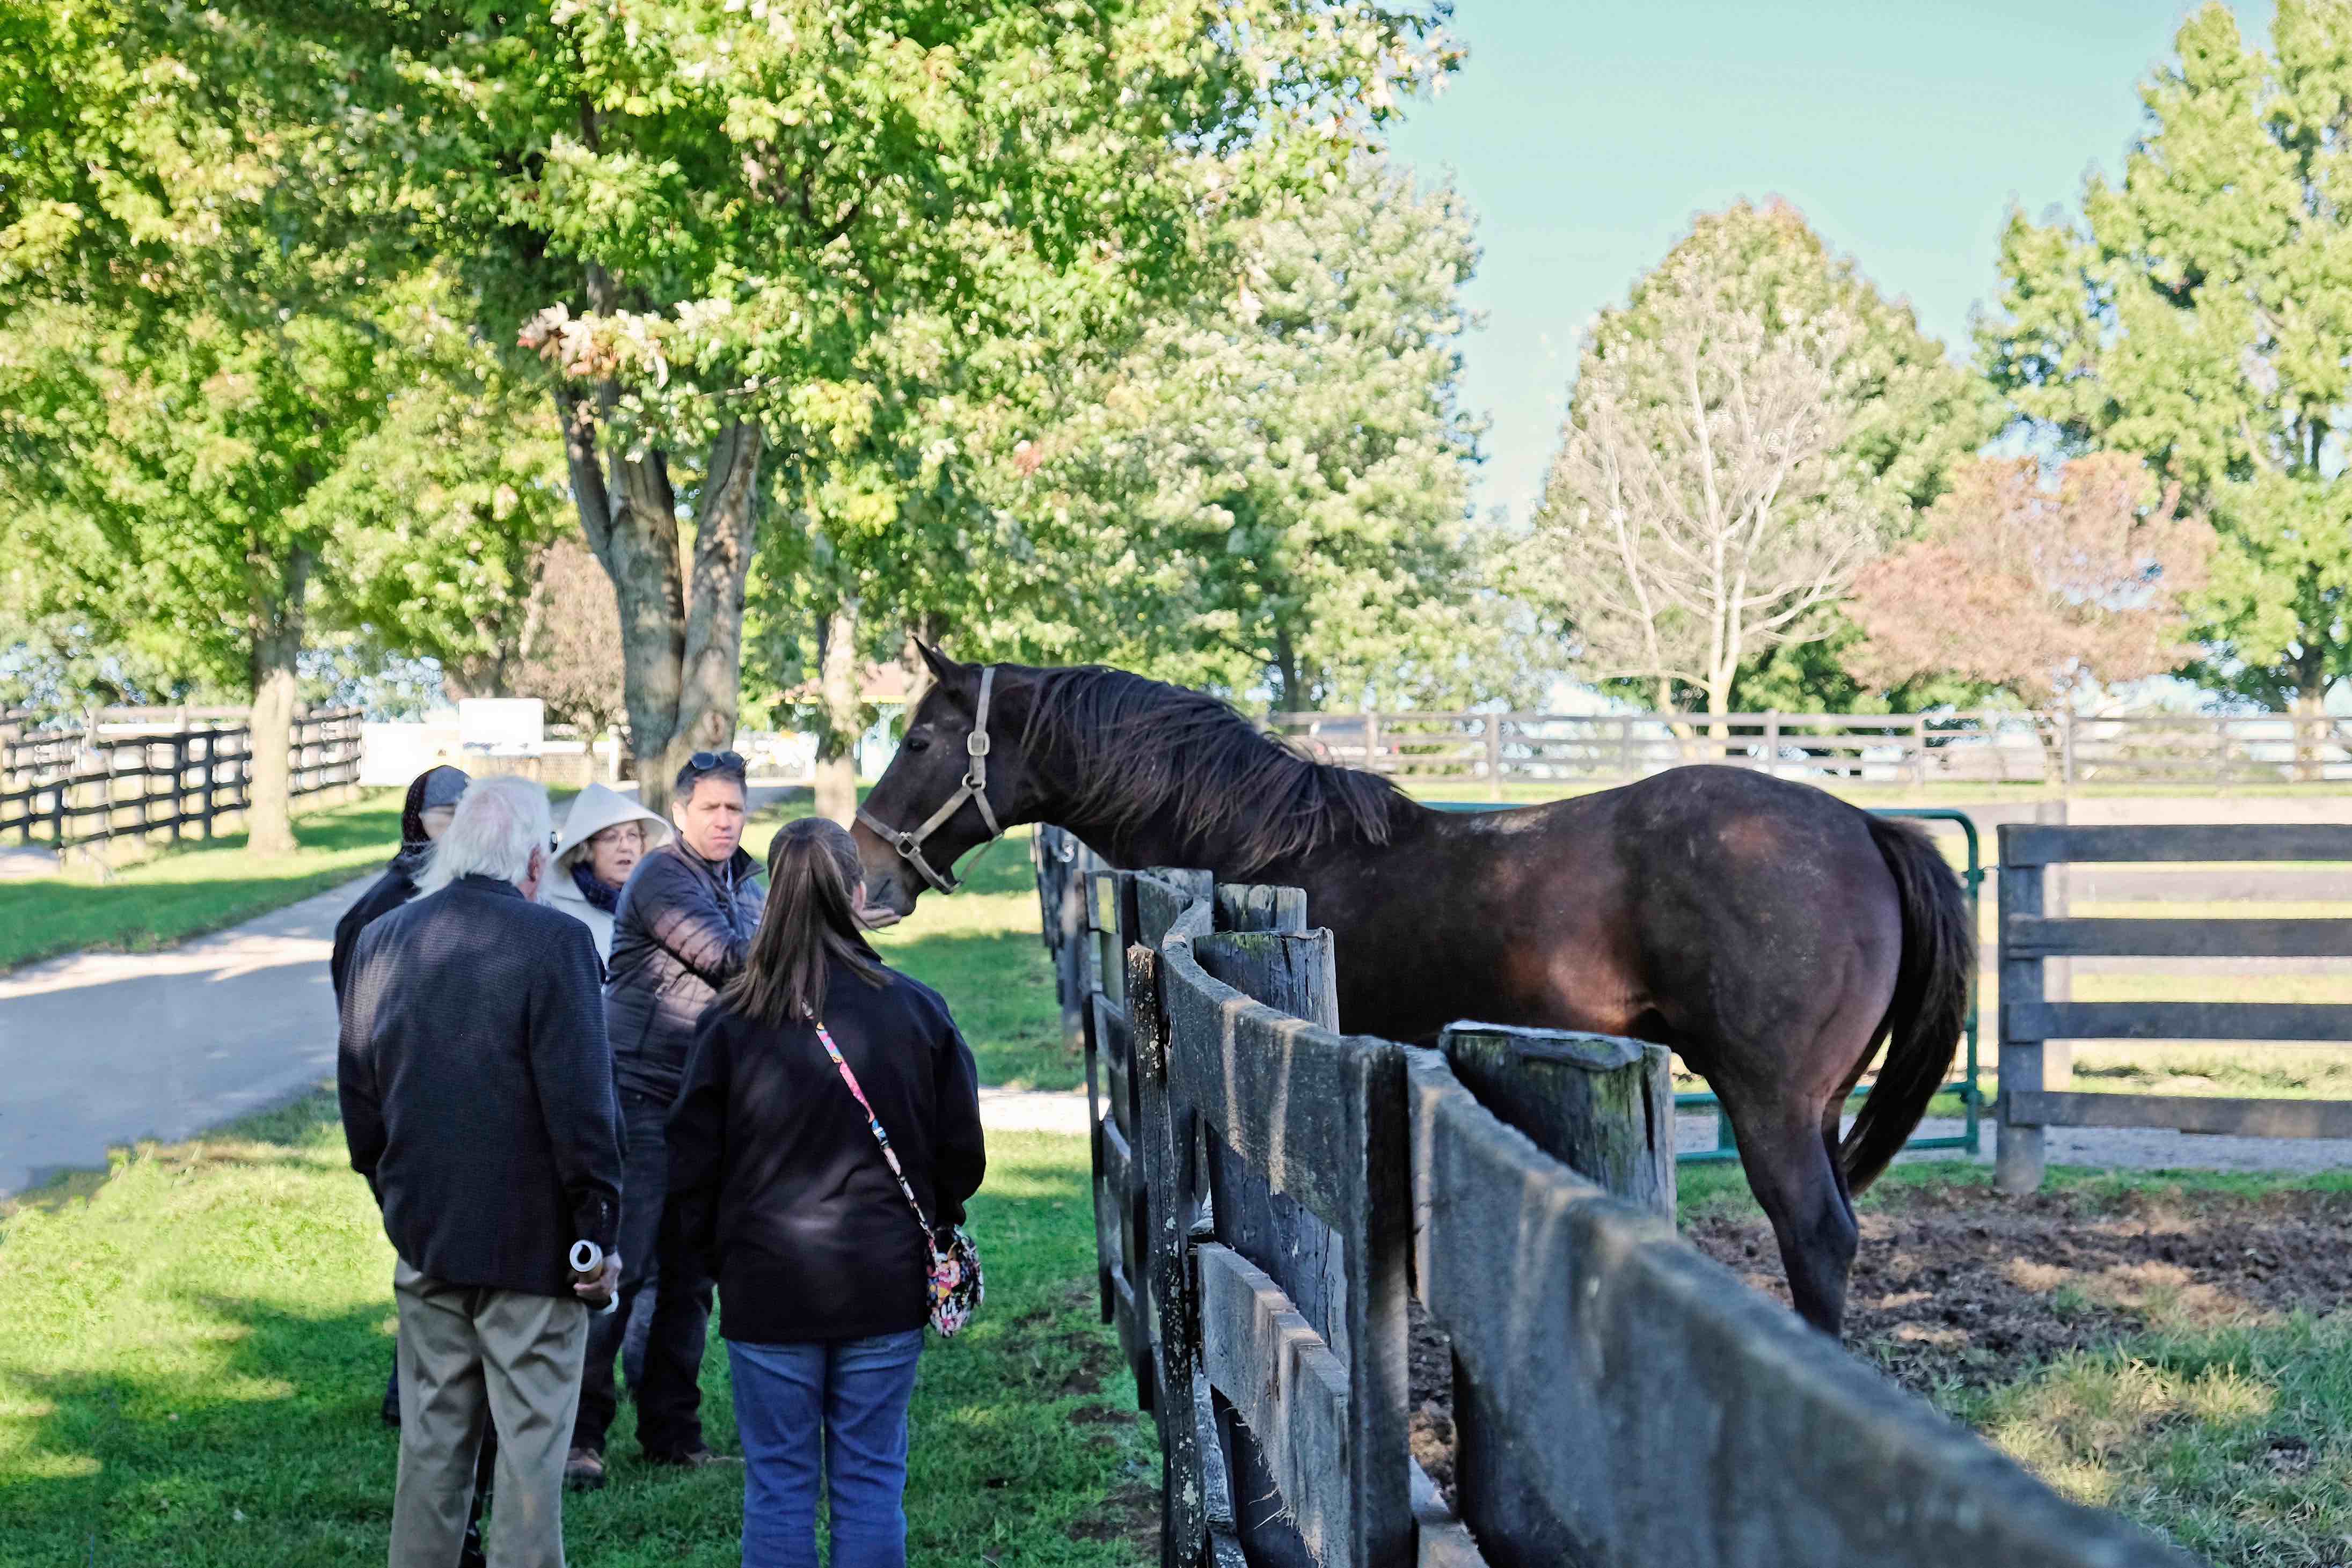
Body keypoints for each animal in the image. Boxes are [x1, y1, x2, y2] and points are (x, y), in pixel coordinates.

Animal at [856, 649, 1975, 1335]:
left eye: (918, 743)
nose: (867, 871)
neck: (1262, 843)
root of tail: (1863, 824)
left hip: (1769, 1103)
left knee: (1816, 1237)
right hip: (1815, 1108)